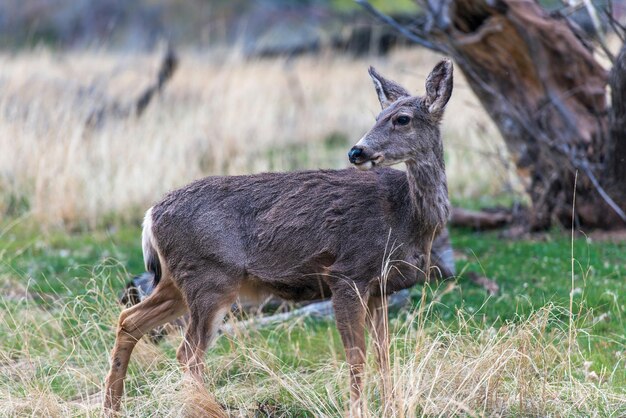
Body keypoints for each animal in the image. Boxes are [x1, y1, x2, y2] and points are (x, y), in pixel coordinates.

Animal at [103, 58, 454, 414]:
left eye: (401, 118)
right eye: (378, 117)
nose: (356, 151)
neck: (408, 218)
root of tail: (150, 216)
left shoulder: (380, 288)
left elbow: (384, 354)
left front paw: (390, 407)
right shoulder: (346, 274)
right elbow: (357, 357)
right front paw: (358, 410)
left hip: (178, 281)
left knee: (129, 320)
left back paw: (112, 406)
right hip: (210, 278)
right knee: (187, 352)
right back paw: (206, 408)